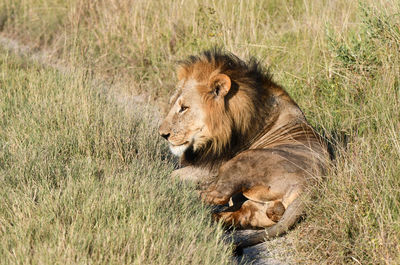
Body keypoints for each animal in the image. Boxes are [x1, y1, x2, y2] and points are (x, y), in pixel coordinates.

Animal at [158, 49, 330, 248]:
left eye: (184, 108)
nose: (163, 134)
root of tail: (313, 185)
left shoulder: (212, 167)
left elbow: (173, 175)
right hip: (259, 207)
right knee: (243, 214)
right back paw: (210, 218)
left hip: (242, 161)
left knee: (216, 196)